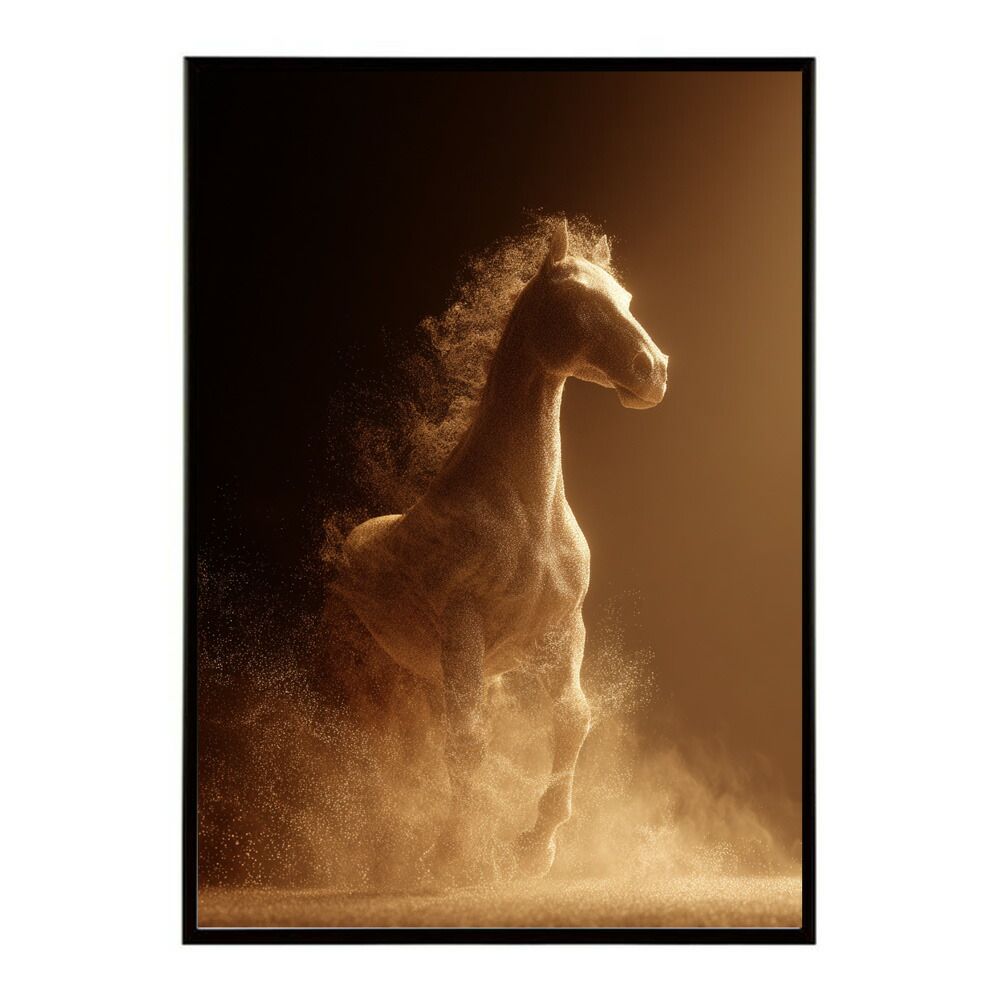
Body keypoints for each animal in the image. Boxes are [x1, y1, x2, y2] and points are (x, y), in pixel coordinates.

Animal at [331, 219, 669, 881]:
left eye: (626, 300)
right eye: (582, 302)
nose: (655, 370)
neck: (528, 519)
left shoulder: (563, 627)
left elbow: (570, 719)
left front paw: (534, 845)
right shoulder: (463, 624)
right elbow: (468, 742)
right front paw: (453, 854)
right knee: (380, 754)